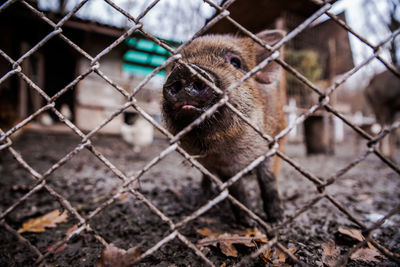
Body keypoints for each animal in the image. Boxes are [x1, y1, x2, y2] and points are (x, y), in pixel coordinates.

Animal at [161, 30, 286, 225]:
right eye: (175, 64)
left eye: (235, 62)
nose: (186, 70)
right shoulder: (221, 166)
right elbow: (236, 189)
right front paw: (248, 223)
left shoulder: (274, 142)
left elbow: (268, 178)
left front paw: (277, 219)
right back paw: (206, 194)